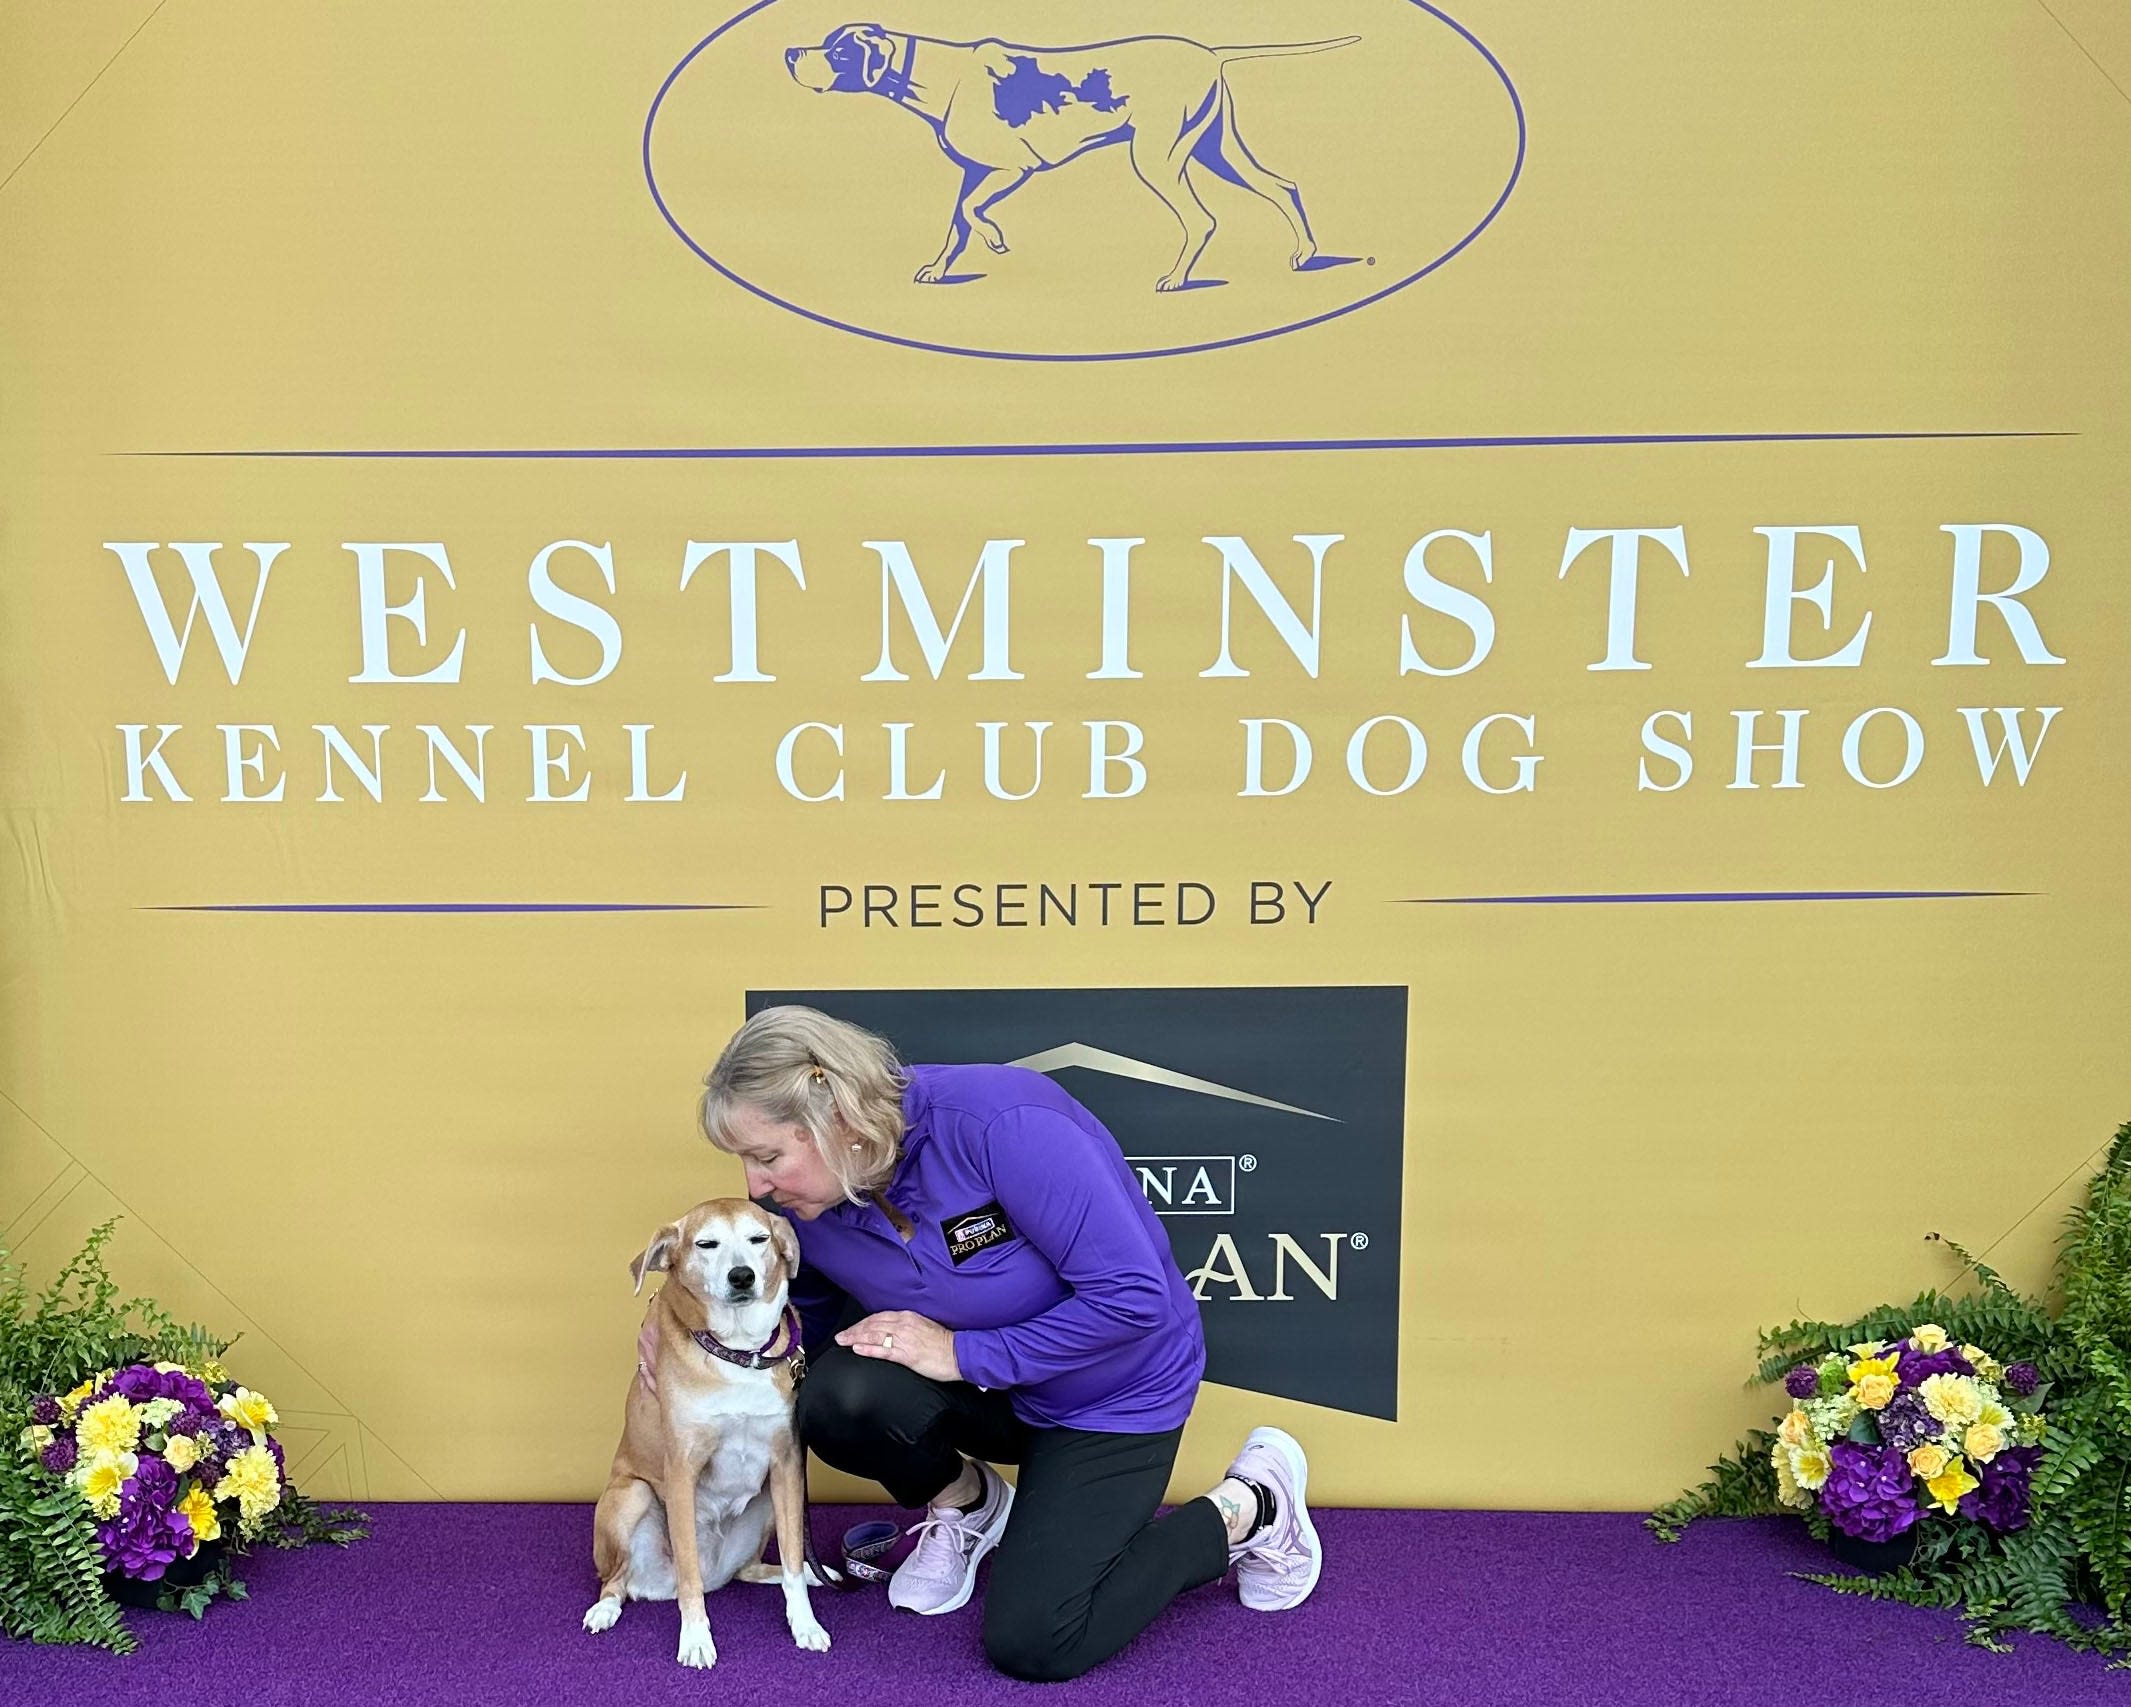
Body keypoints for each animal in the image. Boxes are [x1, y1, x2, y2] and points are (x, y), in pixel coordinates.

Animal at [583, 1201, 831, 1662]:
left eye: (759, 1239)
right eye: (706, 1244)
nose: (742, 1276)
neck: (740, 1354)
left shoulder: (787, 1466)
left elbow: (791, 1557)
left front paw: (805, 1623)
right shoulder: (682, 1470)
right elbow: (690, 1578)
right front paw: (697, 1638)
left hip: (768, 1501)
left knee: (754, 1569)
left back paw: (813, 1573)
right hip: (631, 1496)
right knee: (617, 1581)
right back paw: (605, 1609)